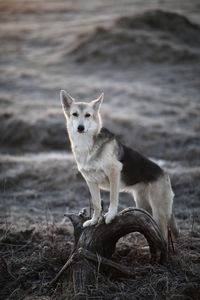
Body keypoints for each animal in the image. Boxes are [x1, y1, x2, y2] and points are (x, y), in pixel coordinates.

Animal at [60, 90, 179, 243]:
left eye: (88, 115)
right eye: (74, 114)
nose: (80, 128)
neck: (86, 146)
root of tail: (165, 173)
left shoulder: (114, 172)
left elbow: (112, 198)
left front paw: (110, 216)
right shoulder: (91, 181)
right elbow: (96, 203)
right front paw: (94, 220)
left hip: (159, 211)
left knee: (163, 236)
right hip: (143, 206)